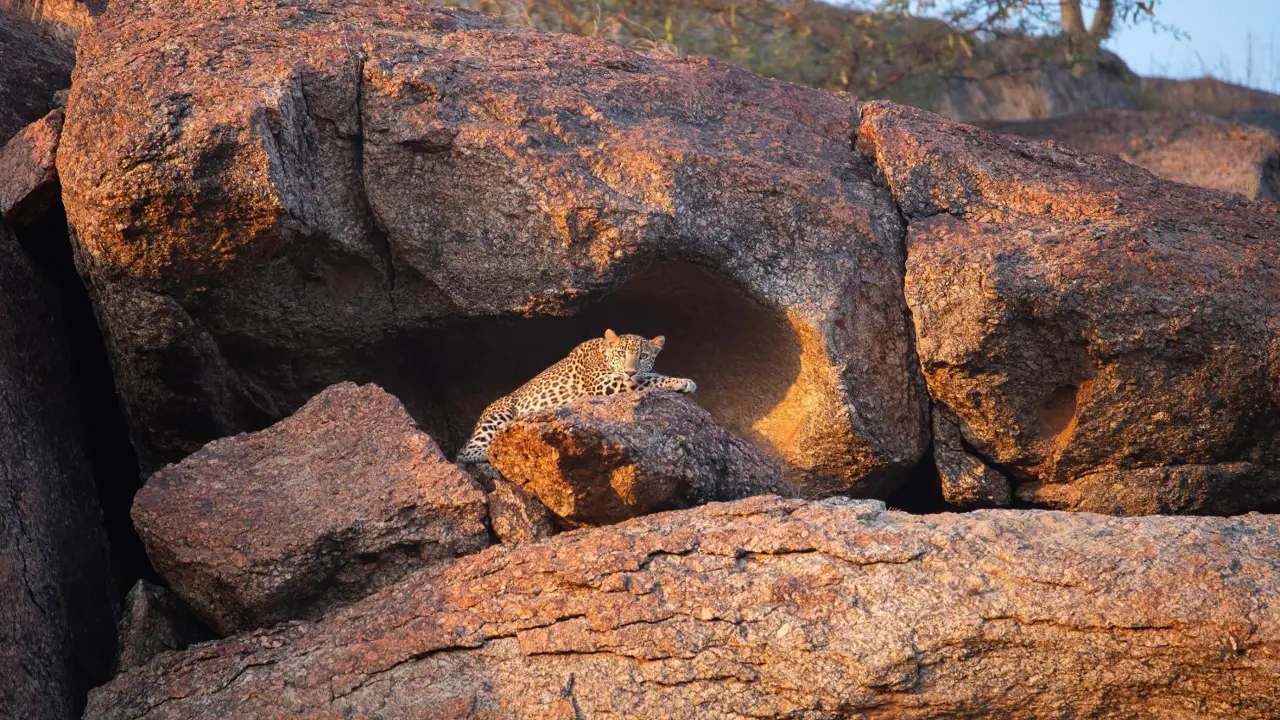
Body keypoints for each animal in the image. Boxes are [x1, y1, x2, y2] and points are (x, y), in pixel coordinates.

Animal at [455, 329, 697, 464]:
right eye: (621, 354)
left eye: (644, 356)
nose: (630, 371)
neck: (604, 353)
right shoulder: (604, 384)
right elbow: (649, 379)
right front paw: (681, 381)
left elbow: (648, 375)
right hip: (499, 414)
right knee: (465, 453)